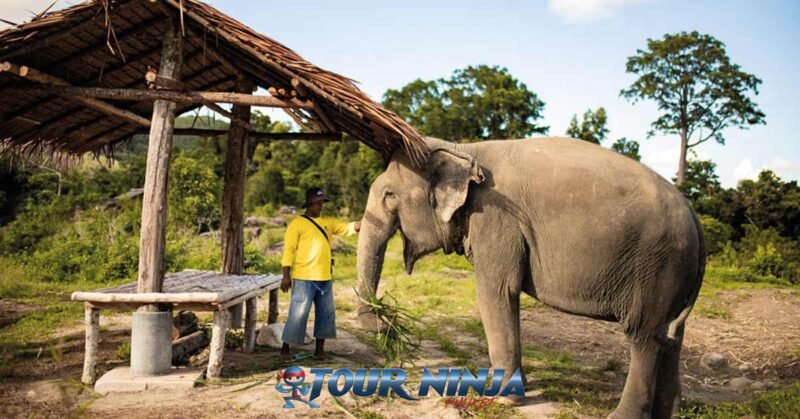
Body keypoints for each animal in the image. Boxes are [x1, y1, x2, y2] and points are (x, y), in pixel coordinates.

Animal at [356, 136, 705, 418]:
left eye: (389, 195)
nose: (384, 324)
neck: (463, 149)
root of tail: (693, 214)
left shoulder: (496, 218)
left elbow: (497, 292)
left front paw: (502, 399)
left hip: (657, 265)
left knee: (643, 336)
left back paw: (623, 415)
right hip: (674, 273)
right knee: (670, 336)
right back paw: (669, 411)